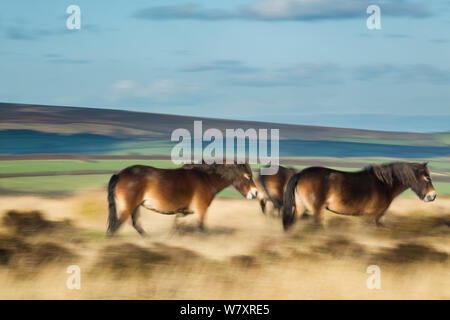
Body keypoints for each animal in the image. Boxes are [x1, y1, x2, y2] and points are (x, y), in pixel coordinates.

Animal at [106, 162, 258, 235]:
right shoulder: (201, 209)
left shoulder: (183, 212)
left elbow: (177, 227)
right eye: (248, 176)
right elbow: (202, 229)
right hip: (127, 208)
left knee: (136, 226)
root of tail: (119, 175)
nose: (255, 193)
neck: (206, 179)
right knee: (114, 228)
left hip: (135, 207)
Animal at [284, 162, 436, 230]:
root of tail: (300, 174)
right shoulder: (372, 215)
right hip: (317, 210)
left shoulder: (380, 216)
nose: (432, 196)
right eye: (427, 178)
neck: (384, 184)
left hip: (300, 208)